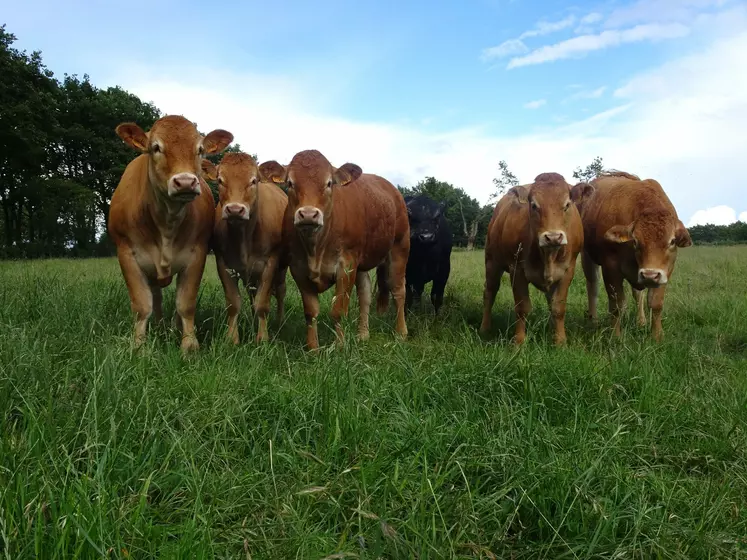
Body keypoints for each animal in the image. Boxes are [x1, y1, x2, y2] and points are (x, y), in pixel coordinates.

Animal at [106, 114, 232, 352]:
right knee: (156, 298)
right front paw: (139, 347)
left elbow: (186, 303)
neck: (167, 222)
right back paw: (159, 327)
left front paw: (189, 346)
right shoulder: (126, 254)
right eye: (156, 147)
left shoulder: (197, 254)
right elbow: (142, 305)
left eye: (200, 149)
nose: (185, 182)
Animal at [202, 154, 290, 346]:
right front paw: (232, 339)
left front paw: (262, 339)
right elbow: (233, 303)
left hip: (281, 268)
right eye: (220, 180)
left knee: (280, 291)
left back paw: (280, 321)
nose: (235, 209)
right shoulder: (223, 263)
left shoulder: (270, 262)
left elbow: (262, 304)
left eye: (253, 180)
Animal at [258, 149, 410, 350]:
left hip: (400, 248)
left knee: (399, 290)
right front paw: (313, 348)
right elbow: (311, 311)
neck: (315, 248)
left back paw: (401, 333)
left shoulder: (346, 265)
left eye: (329, 183)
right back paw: (363, 334)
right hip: (362, 263)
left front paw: (339, 346)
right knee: (365, 293)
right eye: (290, 183)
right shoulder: (298, 268)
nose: (308, 214)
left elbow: (339, 310)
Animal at [482, 172, 588, 346]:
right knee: (489, 292)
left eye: (567, 205)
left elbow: (558, 307)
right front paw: (519, 341)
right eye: (534, 206)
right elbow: (522, 307)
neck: (548, 255)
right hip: (491, 262)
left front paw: (560, 341)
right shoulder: (516, 269)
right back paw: (484, 328)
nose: (553, 237)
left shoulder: (568, 270)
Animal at [572, 170, 696, 342]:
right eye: (636, 241)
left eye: (672, 241)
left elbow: (655, 303)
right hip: (588, 257)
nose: (650, 274)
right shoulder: (610, 268)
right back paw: (593, 320)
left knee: (638, 294)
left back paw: (641, 321)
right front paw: (615, 336)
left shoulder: (665, 271)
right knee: (593, 287)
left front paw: (657, 336)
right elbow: (616, 304)